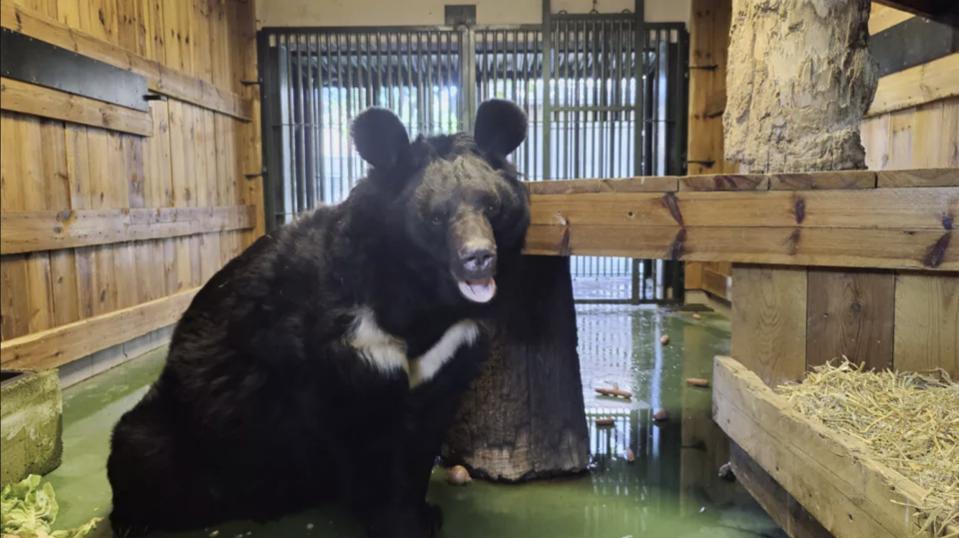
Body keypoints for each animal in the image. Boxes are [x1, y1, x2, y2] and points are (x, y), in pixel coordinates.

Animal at [106, 99, 532, 536]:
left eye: (492, 206)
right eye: (434, 217)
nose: (479, 258)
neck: (418, 294)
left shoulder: (448, 349)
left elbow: (425, 427)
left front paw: (423, 513)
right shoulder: (344, 347)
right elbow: (366, 438)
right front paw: (398, 522)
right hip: (178, 428)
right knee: (141, 455)